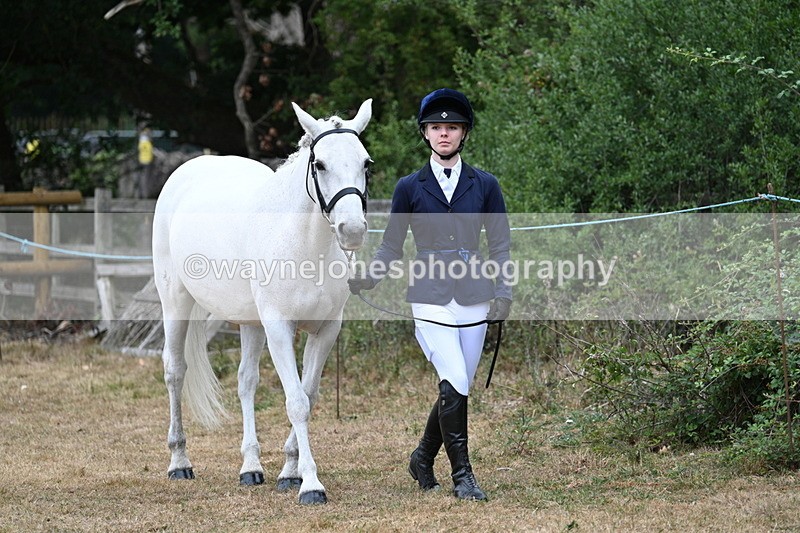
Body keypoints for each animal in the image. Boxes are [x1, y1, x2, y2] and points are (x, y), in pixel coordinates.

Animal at [151, 99, 373, 505]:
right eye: (320, 164)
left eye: (366, 163)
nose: (352, 231)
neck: (304, 244)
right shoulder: (279, 328)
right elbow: (296, 402)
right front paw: (311, 486)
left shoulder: (325, 330)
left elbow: (308, 395)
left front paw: (290, 472)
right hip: (176, 303)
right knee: (175, 371)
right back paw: (179, 462)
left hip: (250, 323)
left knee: (245, 382)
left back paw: (251, 468)